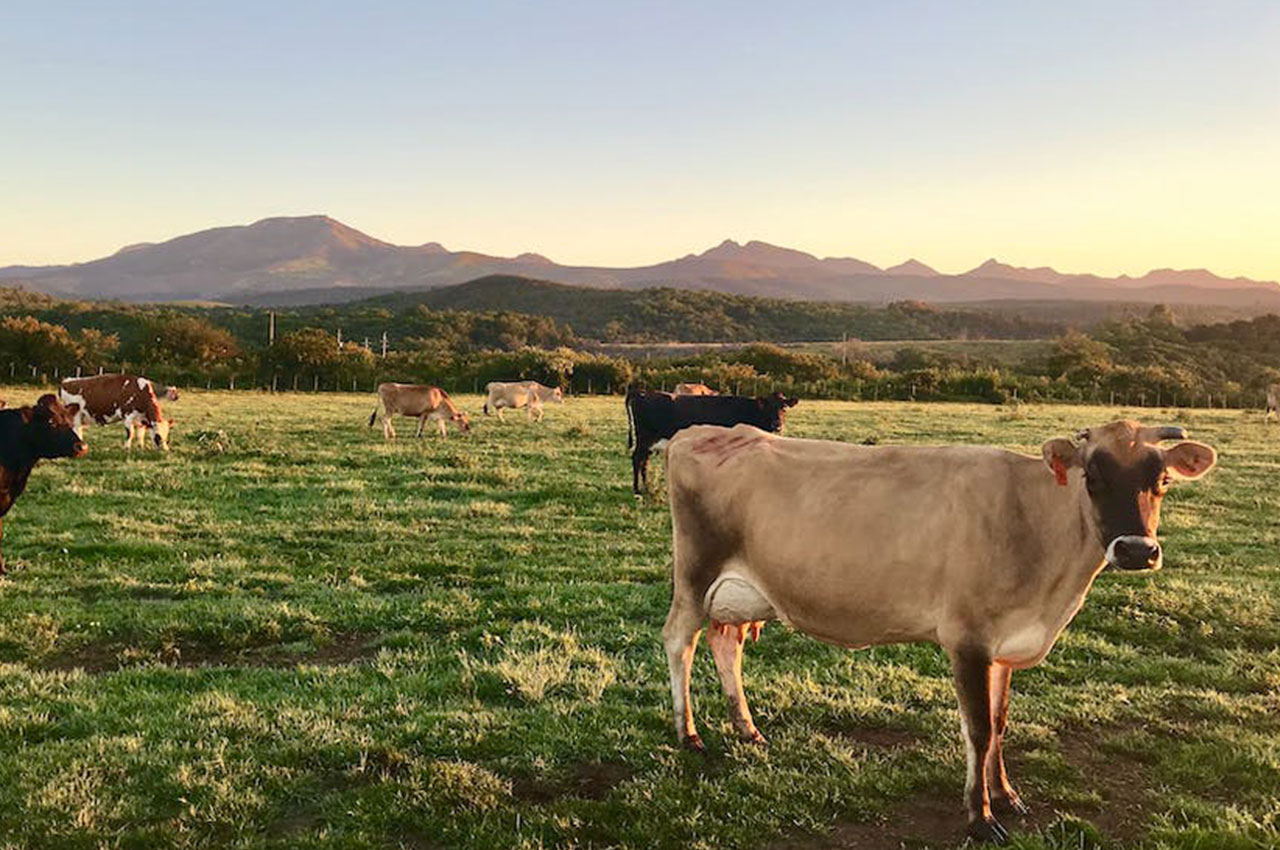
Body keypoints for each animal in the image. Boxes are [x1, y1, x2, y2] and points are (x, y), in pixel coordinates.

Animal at [624, 389, 793, 494]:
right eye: (769, 407)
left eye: (784, 408)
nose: (777, 425)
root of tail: (643, 392)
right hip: (644, 438)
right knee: (637, 459)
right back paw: (637, 490)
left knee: (643, 462)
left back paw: (646, 488)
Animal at [665, 417, 1213, 834]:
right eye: (1092, 478)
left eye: (1162, 481)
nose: (1137, 550)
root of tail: (701, 430)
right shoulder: (967, 639)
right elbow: (978, 728)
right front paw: (980, 816)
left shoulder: (1004, 643)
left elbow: (1000, 721)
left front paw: (1006, 794)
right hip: (695, 574)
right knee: (679, 641)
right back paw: (689, 733)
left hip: (741, 594)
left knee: (726, 644)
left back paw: (747, 728)